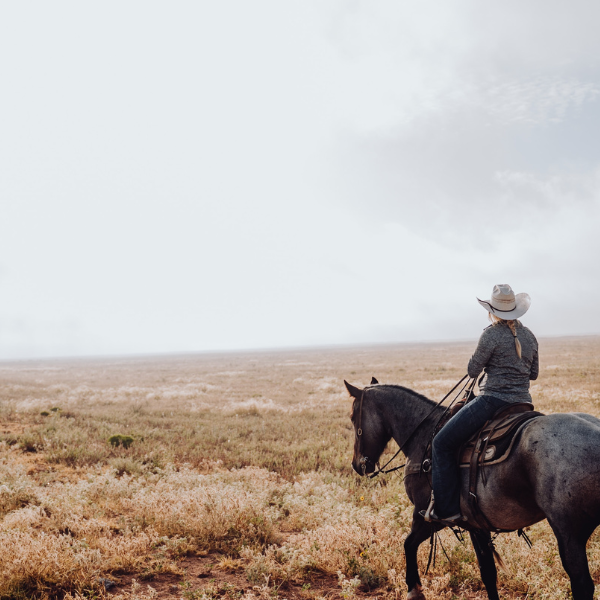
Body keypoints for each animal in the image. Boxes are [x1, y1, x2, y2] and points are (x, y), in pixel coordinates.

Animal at [344, 380, 600, 600]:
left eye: (353, 417)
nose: (357, 465)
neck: (424, 437)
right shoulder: (477, 524)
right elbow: (488, 574)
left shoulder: (428, 515)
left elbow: (408, 544)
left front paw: (414, 591)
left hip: (569, 533)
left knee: (582, 584)